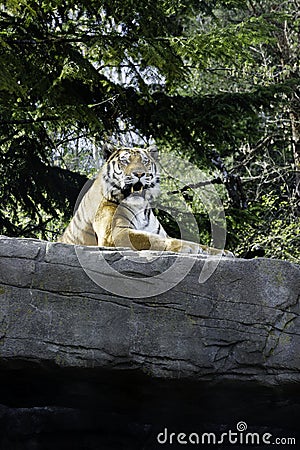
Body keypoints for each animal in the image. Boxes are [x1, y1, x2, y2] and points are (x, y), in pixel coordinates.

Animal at [58, 145, 232, 256]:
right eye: (125, 161)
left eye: (145, 161)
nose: (139, 174)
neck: (140, 208)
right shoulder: (116, 233)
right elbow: (153, 240)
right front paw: (189, 248)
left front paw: (223, 252)